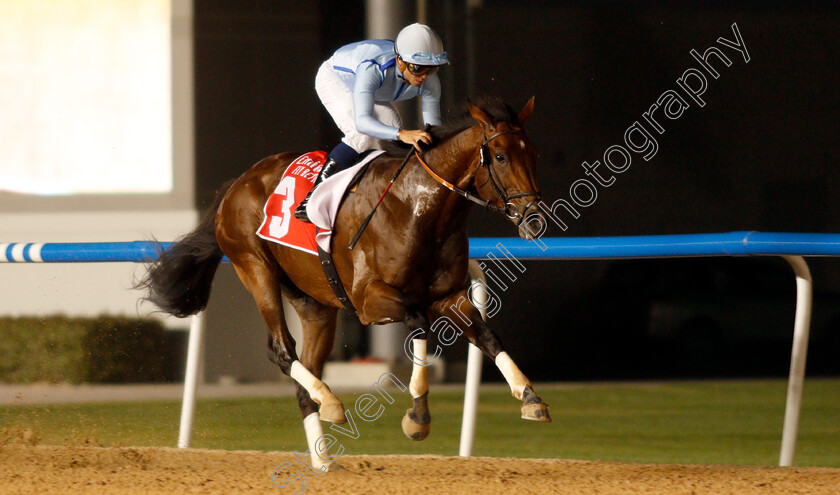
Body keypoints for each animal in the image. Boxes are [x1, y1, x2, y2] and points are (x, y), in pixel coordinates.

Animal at [139, 95, 552, 470]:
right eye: (500, 156)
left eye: (533, 154)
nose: (534, 219)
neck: (419, 208)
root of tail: (237, 184)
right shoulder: (370, 300)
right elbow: (419, 323)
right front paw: (417, 417)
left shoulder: (449, 297)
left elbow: (488, 336)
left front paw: (530, 398)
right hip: (255, 267)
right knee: (282, 351)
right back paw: (332, 405)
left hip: (314, 302)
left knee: (305, 365)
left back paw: (323, 456)